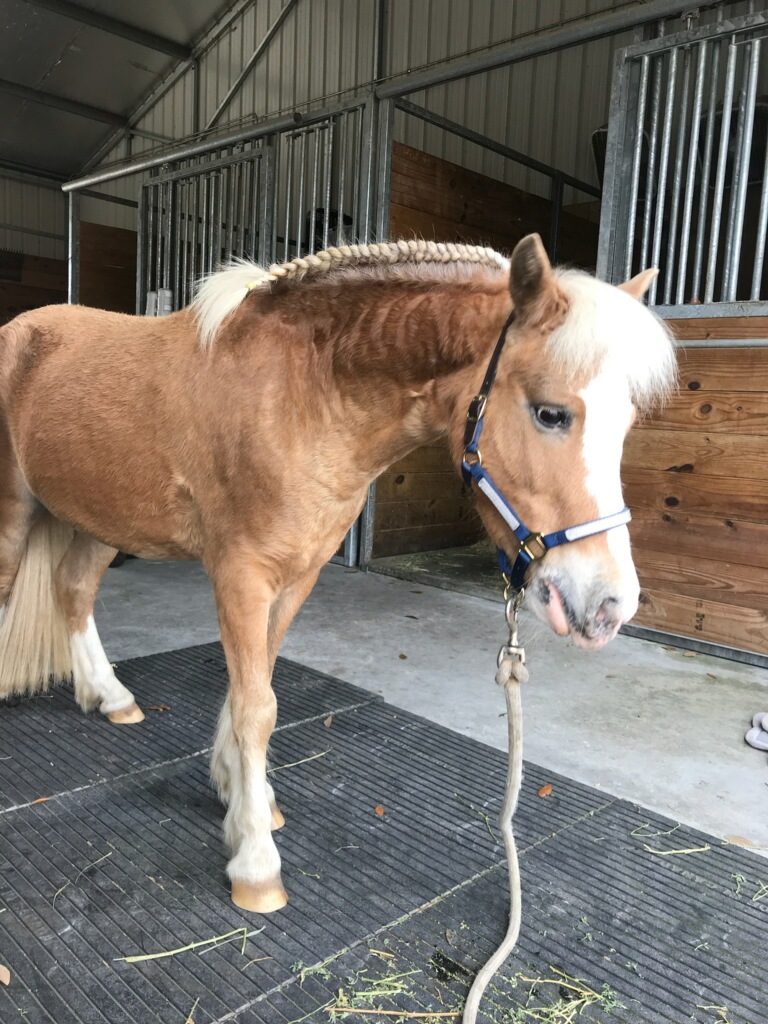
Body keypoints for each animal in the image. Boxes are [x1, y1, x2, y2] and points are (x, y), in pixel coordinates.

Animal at [0, 235, 675, 917]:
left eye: (625, 423)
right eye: (551, 413)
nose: (610, 605)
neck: (305, 395)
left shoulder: (296, 577)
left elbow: (254, 689)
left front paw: (243, 800)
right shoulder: (241, 576)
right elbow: (256, 707)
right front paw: (256, 863)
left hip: (97, 519)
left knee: (73, 588)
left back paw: (111, 698)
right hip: (16, 516)